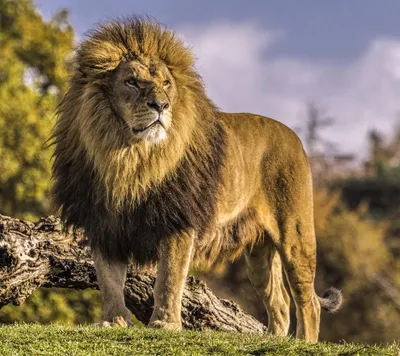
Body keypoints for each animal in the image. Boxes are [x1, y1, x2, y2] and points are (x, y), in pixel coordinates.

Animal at [51, 17, 342, 342]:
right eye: (132, 82)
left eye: (166, 84)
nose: (161, 105)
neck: (128, 158)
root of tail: (296, 139)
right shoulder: (104, 223)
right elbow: (109, 279)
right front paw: (113, 321)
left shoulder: (178, 221)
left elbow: (169, 278)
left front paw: (164, 324)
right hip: (259, 254)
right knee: (279, 303)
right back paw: (276, 339)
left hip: (295, 235)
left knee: (308, 302)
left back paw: (305, 342)